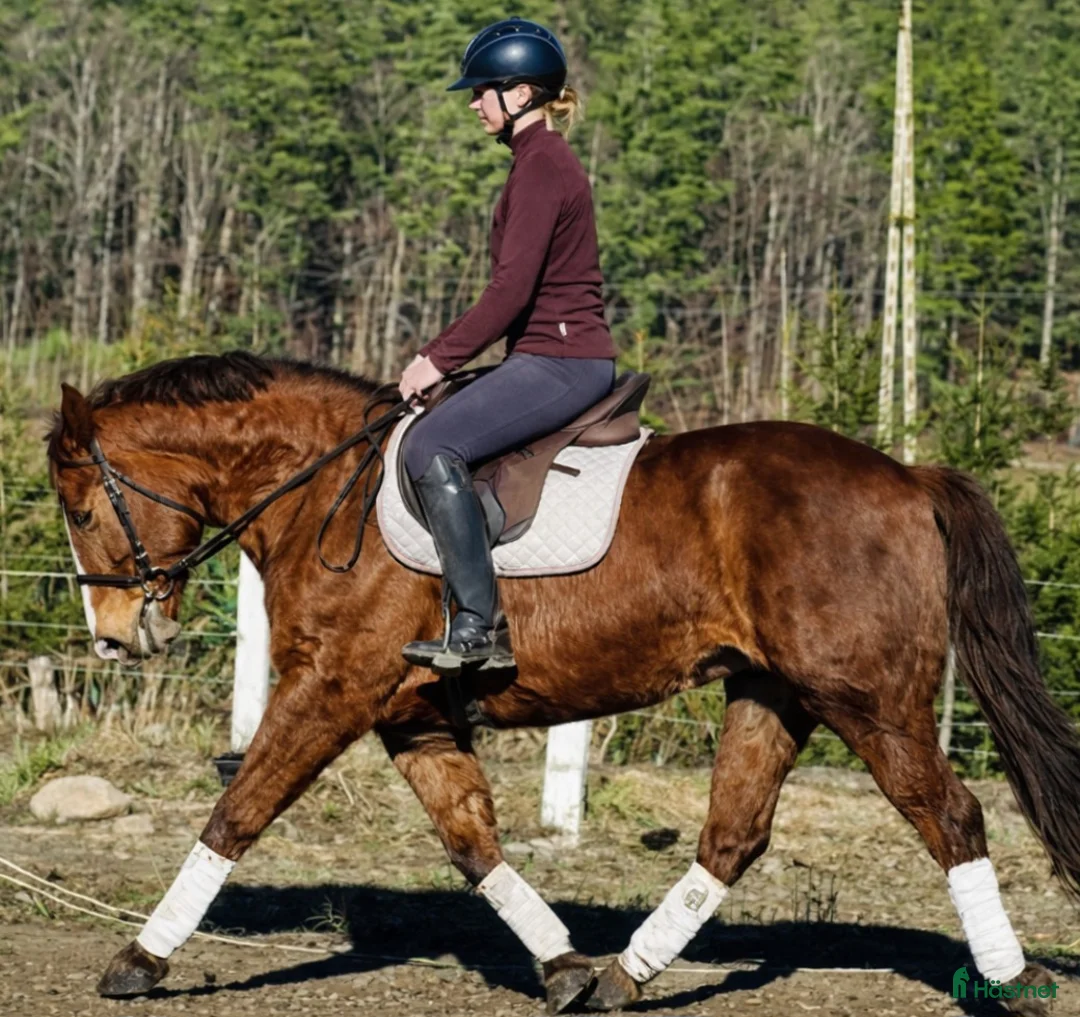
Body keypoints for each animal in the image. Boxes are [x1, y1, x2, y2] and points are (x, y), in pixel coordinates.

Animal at [47, 350, 1078, 1015]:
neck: (322, 492)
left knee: (949, 815)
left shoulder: (330, 690)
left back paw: (1012, 980)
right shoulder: (408, 713)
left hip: (866, 698)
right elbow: (473, 842)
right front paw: (564, 967)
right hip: (772, 692)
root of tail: (906, 476)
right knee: (734, 835)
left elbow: (236, 815)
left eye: (83, 507)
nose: (116, 639)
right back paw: (628, 974)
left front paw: (138, 958)